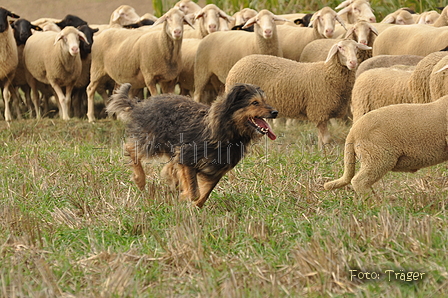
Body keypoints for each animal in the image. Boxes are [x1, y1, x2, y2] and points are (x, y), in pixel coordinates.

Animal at [107, 82, 278, 206]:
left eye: (264, 101)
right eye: (255, 103)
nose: (275, 112)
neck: (226, 133)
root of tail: (140, 104)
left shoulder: (216, 171)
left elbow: (204, 194)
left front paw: (193, 205)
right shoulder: (187, 158)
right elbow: (195, 192)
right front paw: (186, 198)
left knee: (168, 166)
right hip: (152, 140)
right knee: (131, 149)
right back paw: (140, 179)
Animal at [228, 39, 372, 148]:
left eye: (356, 48)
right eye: (340, 48)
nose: (353, 63)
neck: (328, 74)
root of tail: (238, 64)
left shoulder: (321, 115)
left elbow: (321, 139)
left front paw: (320, 152)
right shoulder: (319, 111)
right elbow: (326, 139)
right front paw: (326, 155)